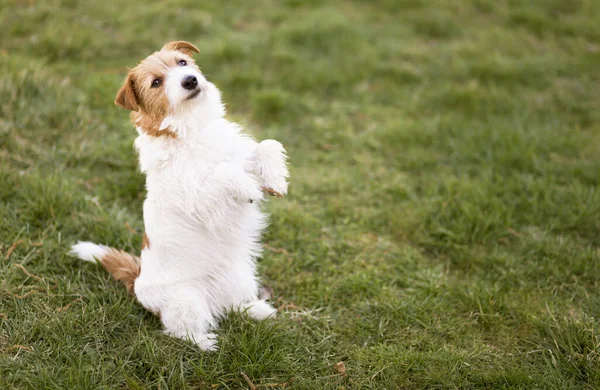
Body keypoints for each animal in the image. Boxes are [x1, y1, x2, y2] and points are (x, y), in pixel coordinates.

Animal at [69, 41, 290, 352]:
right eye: (156, 82)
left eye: (182, 63)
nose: (190, 81)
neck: (192, 127)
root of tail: (138, 281)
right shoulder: (200, 197)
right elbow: (224, 173)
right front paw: (248, 187)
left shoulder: (239, 152)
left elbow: (267, 144)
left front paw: (274, 178)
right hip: (187, 300)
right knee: (179, 329)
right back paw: (206, 343)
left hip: (240, 275)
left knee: (232, 305)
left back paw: (257, 310)